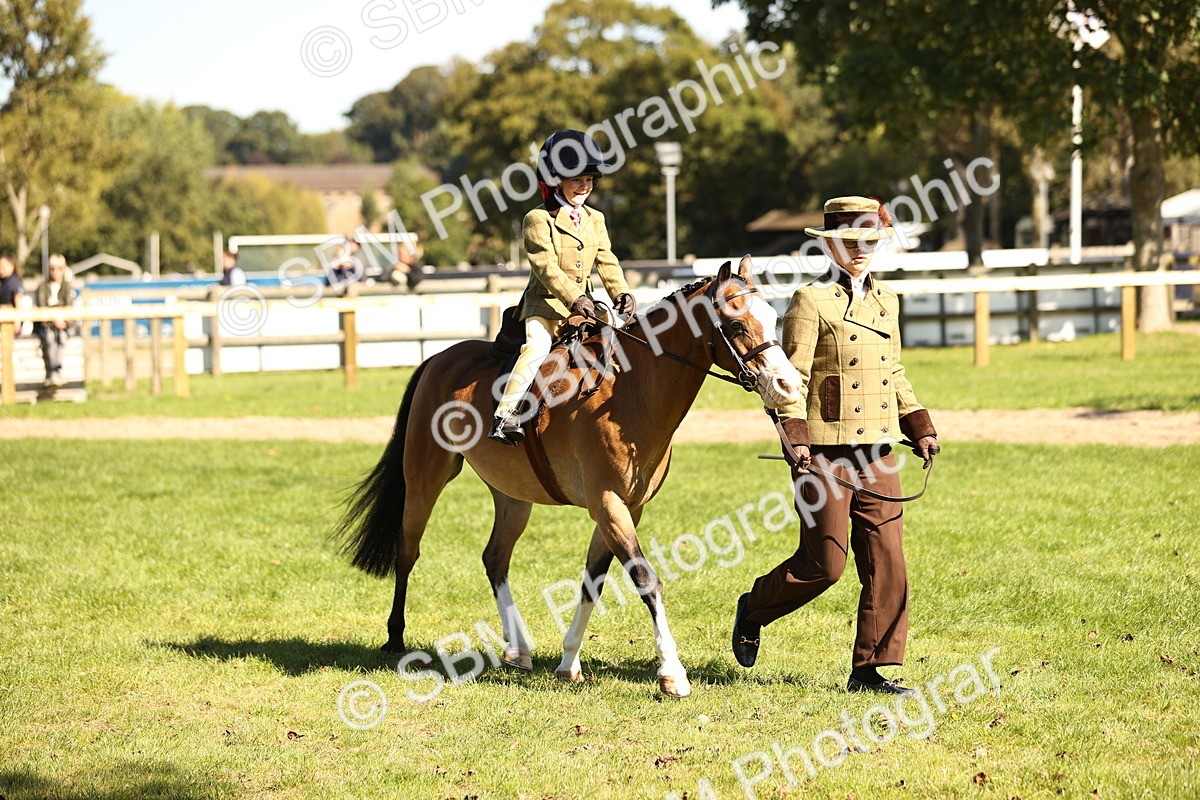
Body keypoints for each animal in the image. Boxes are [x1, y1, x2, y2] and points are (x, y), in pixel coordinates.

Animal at [335, 256, 804, 697]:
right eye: (736, 323)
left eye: (773, 317)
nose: (788, 386)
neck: (628, 393)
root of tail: (437, 358)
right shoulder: (608, 504)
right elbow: (646, 579)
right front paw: (672, 672)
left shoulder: (624, 508)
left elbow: (591, 583)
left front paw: (568, 662)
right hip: (425, 479)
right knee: (408, 551)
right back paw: (395, 638)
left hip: (512, 496)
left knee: (495, 558)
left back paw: (518, 648)